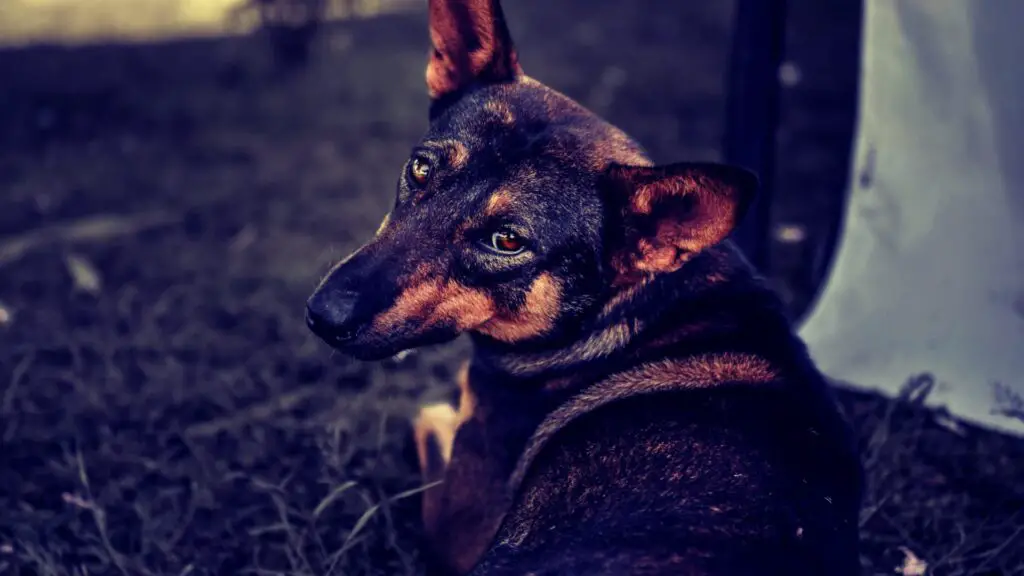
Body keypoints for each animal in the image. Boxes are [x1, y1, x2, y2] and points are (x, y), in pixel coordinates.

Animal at [305, 2, 864, 569]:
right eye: (420, 170)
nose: (322, 316)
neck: (619, 319)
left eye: (507, 241)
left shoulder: (457, 522)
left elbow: (429, 414)